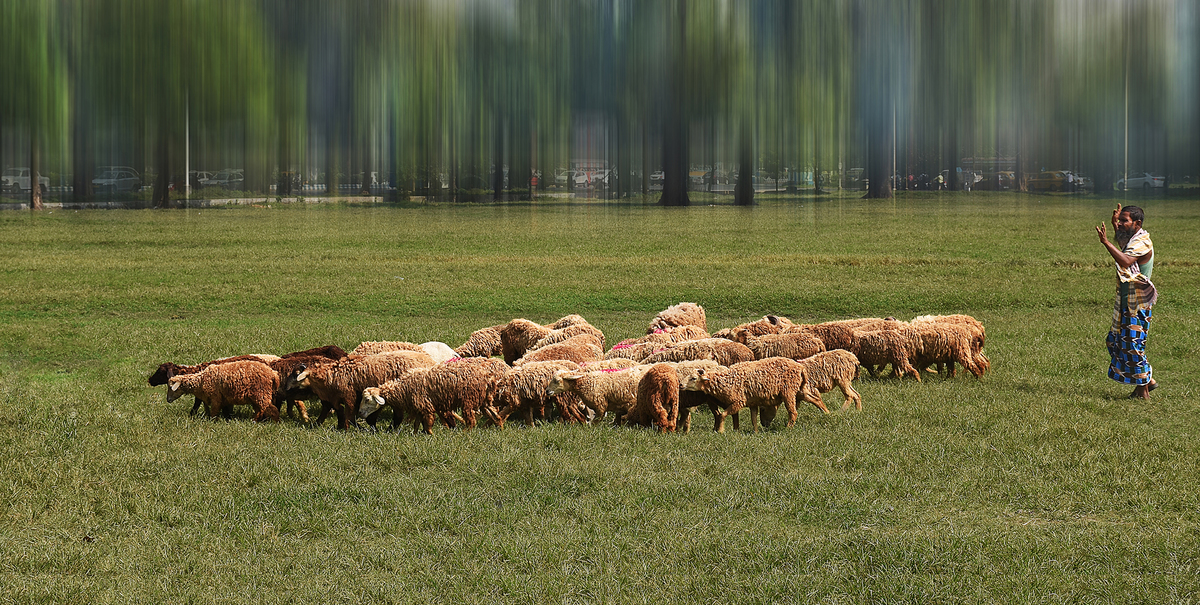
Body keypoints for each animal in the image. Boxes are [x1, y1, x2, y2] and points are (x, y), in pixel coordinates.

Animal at [359, 357, 510, 434]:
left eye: (367, 399)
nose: (360, 413)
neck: (403, 388)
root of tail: (488, 378)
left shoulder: (426, 406)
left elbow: (428, 423)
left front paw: (429, 435)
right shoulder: (419, 407)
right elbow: (417, 423)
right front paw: (416, 434)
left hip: (468, 399)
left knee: (471, 421)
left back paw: (464, 433)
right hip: (483, 400)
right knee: (495, 415)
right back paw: (500, 429)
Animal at [682, 357, 821, 432]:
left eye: (693, 378)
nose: (681, 386)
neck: (727, 380)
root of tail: (800, 367)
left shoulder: (738, 401)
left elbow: (722, 415)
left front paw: (721, 431)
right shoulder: (752, 403)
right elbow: (753, 419)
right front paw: (755, 432)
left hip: (789, 392)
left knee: (793, 412)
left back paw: (788, 428)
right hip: (799, 389)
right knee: (814, 398)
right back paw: (825, 413)